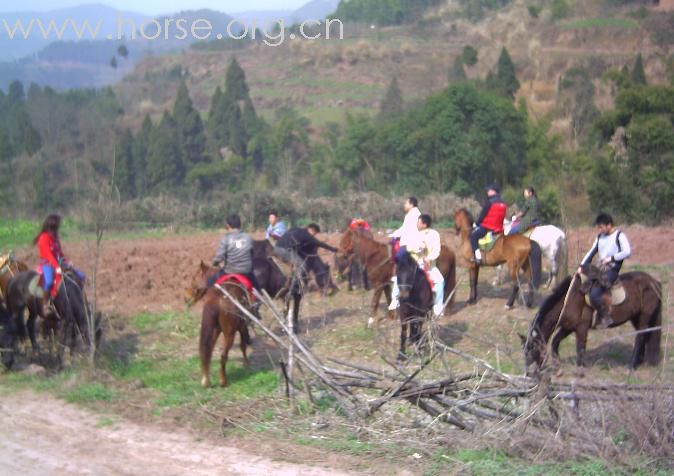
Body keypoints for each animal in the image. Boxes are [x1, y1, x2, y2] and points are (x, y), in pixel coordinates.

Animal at [520, 268, 660, 376]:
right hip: (636, 317)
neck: (569, 300)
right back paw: (639, 361)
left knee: (640, 337)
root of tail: (653, 281)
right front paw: (558, 366)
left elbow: (580, 348)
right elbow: (555, 342)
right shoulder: (568, 327)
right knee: (645, 336)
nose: (528, 373)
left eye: (532, 350)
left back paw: (631, 366)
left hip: (644, 316)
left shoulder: (581, 328)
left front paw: (580, 370)